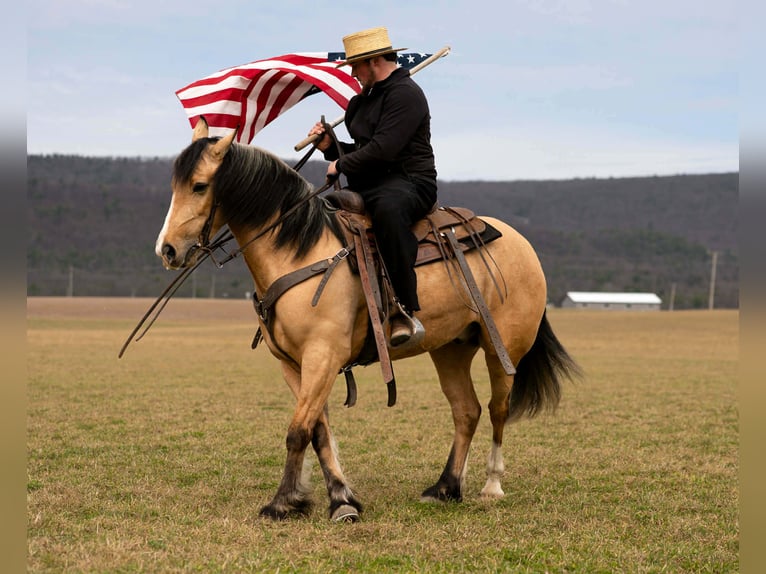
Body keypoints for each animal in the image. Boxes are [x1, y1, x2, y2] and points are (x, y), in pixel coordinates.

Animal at [155, 117, 580, 522]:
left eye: (199, 185)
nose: (168, 250)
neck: (300, 251)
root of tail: (520, 242)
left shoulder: (323, 356)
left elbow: (298, 431)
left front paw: (283, 503)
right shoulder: (294, 364)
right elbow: (318, 432)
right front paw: (337, 499)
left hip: (502, 347)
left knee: (497, 409)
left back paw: (491, 485)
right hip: (451, 349)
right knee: (467, 411)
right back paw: (445, 487)